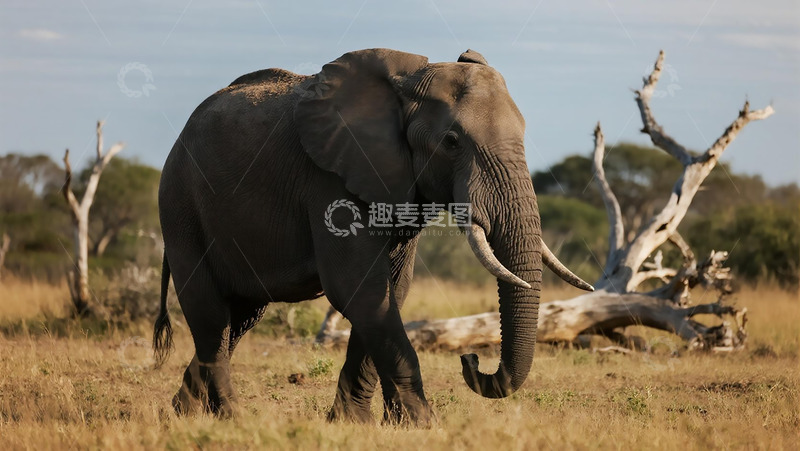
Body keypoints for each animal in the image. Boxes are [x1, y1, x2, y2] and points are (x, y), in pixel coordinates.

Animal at [153, 48, 593, 424]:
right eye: (452, 142)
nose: (470, 360)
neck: (406, 84)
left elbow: (390, 293)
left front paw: (354, 423)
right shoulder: (329, 179)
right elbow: (359, 290)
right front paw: (424, 425)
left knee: (239, 317)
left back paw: (181, 414)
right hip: (180, 205)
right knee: (211, 315)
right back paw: (231, 418)